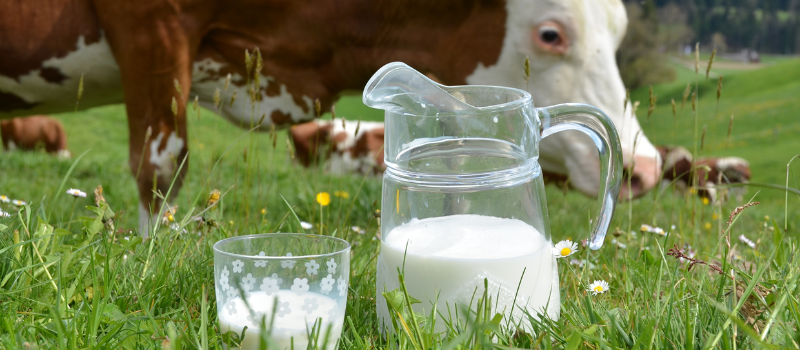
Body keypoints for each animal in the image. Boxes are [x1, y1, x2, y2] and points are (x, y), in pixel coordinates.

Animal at [1, 0, 664, 237]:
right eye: (551, 33)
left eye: (620, 30)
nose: (646, 167)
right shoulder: (150, 25)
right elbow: (161, 167)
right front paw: (149, 255)